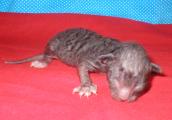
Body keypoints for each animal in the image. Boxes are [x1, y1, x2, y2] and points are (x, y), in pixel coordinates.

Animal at [5, 28, 161, 102]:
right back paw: (42, 61)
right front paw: (86, 87)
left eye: (140, 86)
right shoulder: (93, 58)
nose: (123, 97)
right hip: (53, 45)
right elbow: (82, 66)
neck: (114, 48)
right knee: (48, 55)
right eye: (115, 78)